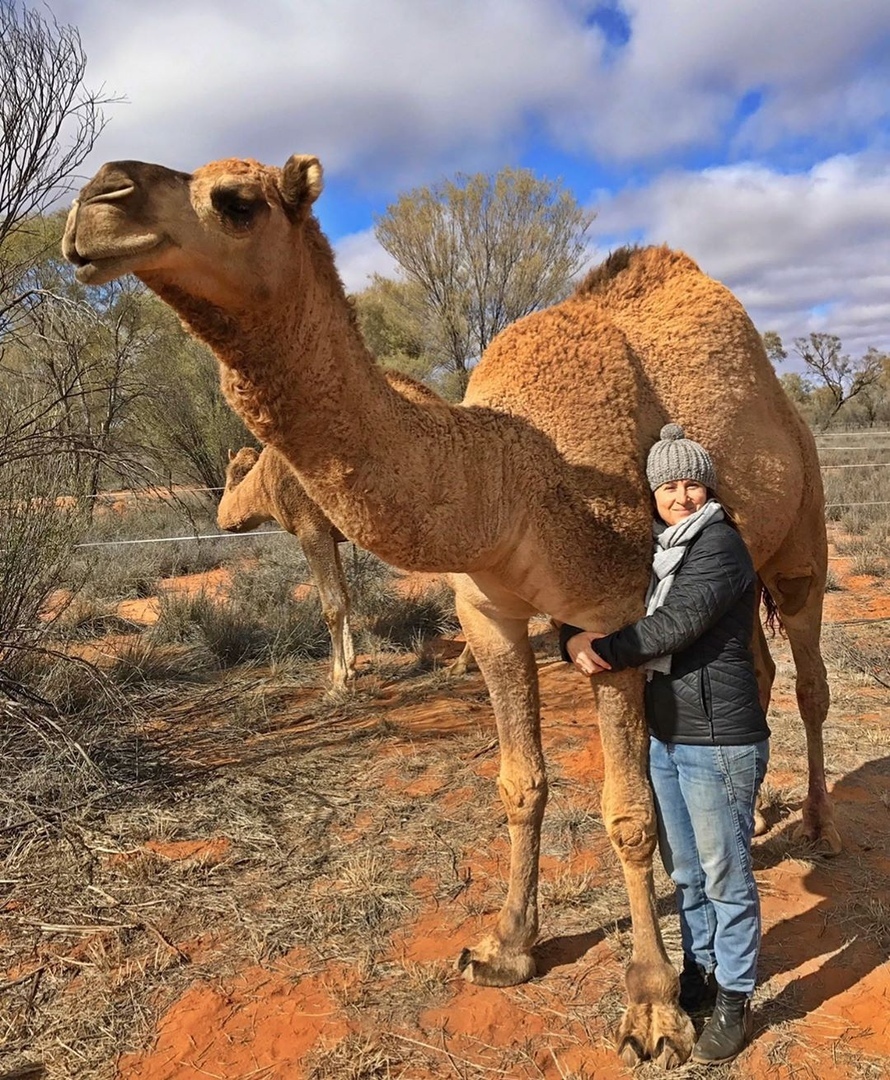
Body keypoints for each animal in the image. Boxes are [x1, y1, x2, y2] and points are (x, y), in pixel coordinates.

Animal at [64, 156, 842, 1067]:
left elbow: (630, 812)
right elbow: (519, 783)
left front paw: (652, 1007)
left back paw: (821, 828)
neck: (517, 480)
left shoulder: (616, 611)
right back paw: (751, 818)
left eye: (236, 201)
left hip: (801, 536)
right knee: (752, 668)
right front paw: (506, 947)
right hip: (742, 574)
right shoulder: (488, 616)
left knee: (809, 679)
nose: (98, 202)